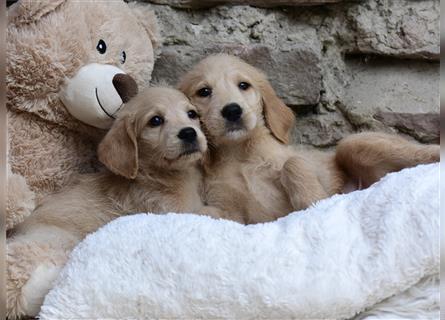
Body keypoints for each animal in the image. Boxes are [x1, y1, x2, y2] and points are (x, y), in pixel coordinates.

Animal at [6, 86, 222, 318]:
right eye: (155, 120)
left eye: (192, 114)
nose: (189, 132)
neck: (160, 176)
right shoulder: (175, 213)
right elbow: (213, 212)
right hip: (58, 240)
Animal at [179, 53, 438, 224]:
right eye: (204, 91)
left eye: (244, 85)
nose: (232, 111)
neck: (241, 156)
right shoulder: (231, 211)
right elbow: (209, 213)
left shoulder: (312, 166)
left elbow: (293, 163)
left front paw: (311, 202)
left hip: (353, 143)